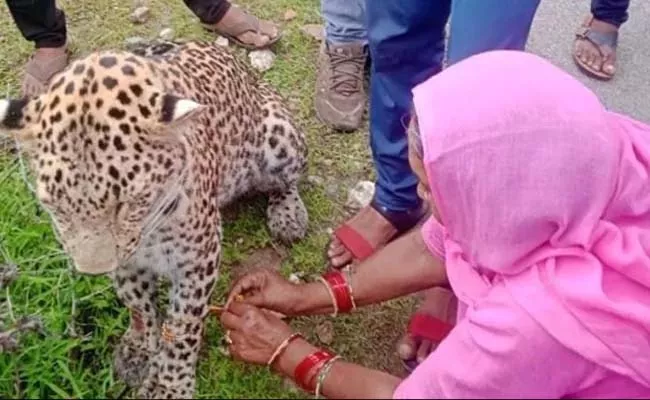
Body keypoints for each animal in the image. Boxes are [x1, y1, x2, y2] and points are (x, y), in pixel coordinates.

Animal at [0, 39, 308, 396]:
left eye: (127, 202)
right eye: (57, 206)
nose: (93, 271)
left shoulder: (198, 259)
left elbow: (183, 326)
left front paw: (170, 384)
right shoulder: (128, 261)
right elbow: (137, 304)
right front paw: (139, 350)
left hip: (279, 137)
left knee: (287, 181)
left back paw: (289, 215)